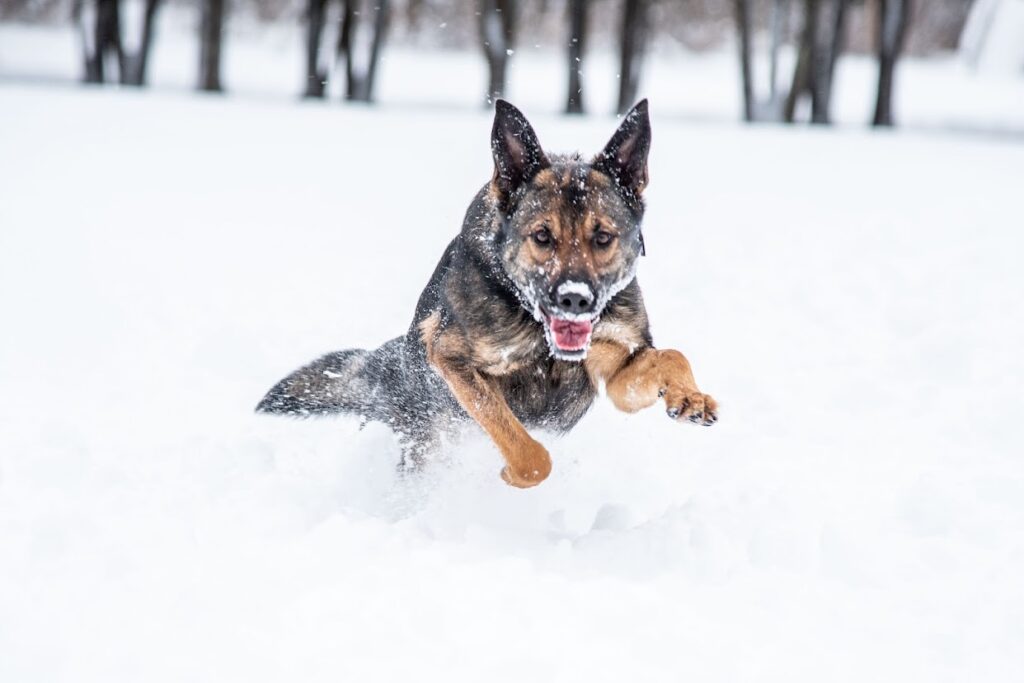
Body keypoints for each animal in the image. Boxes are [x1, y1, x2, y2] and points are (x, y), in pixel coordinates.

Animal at [257, 99, 718, 488]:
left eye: (602, 237)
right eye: (542, 236)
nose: (575, 299)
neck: (534, 324)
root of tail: (393, 370)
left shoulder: (618, 368)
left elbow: (672, 356)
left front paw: (689, 397)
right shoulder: (450, 358)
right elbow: (525, 447)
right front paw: (513, 472)